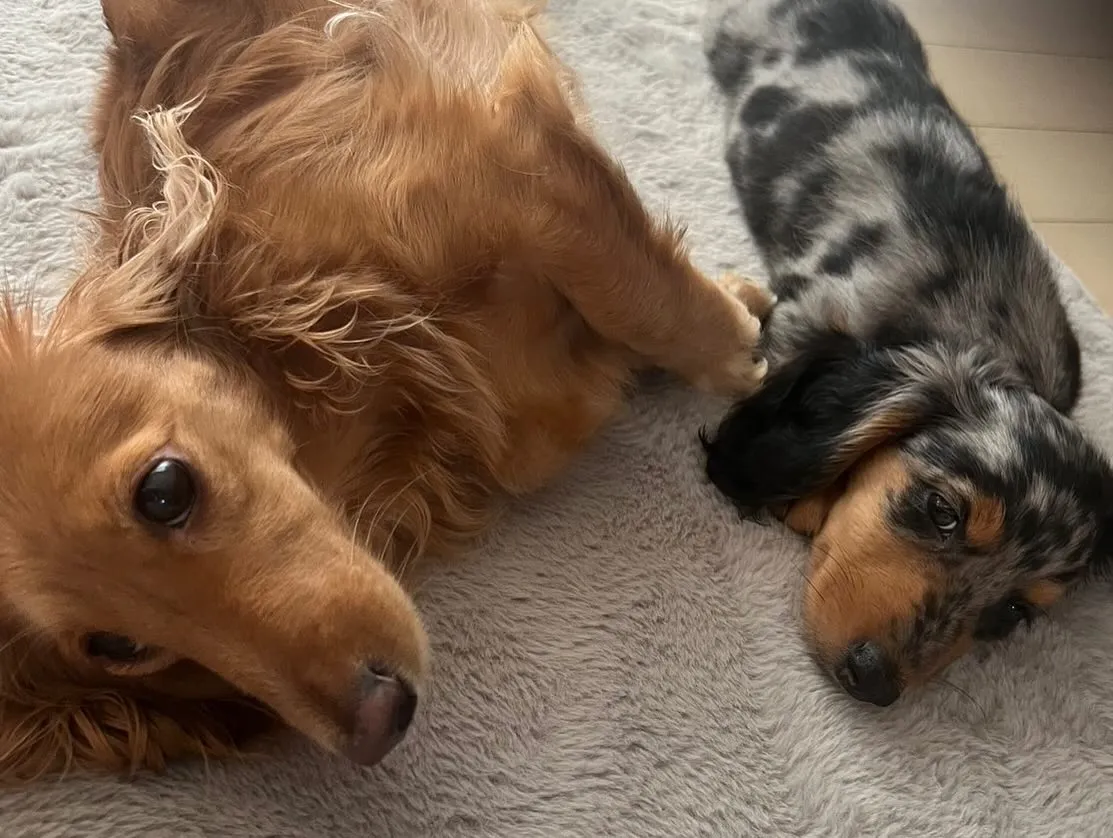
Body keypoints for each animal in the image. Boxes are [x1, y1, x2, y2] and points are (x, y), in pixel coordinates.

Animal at [0, 0, 774, 783]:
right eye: (117, 647)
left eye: (164, 490)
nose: (378, 721)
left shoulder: (513, 153)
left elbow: (639, 297)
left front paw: (735, 342)